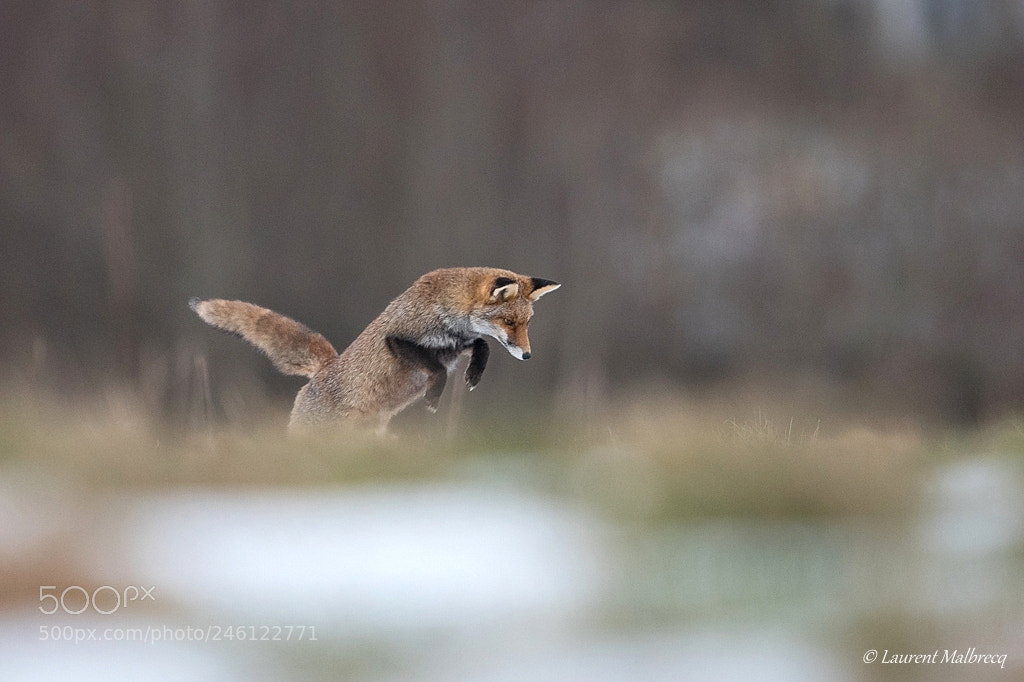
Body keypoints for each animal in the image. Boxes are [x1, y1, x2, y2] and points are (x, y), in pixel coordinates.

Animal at [190, 267, 560, 431]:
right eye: (510, 322)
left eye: (527, 323)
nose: (527, 355)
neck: (446, 310)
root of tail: (325, 367)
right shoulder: (400, 339)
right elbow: (438, 370)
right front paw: (433, 398)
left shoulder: (454, 344)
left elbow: (482, 344)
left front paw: (474, 373)